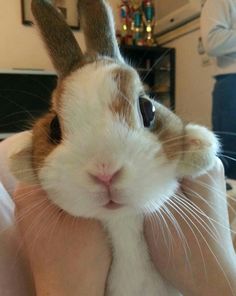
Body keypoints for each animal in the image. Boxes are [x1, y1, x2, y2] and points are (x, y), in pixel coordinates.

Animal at [8, 0, 219, 296]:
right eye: (54, 127)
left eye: (148, 108)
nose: (105, 172)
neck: (121, 221)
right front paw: (18, 157)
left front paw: (202, 146)